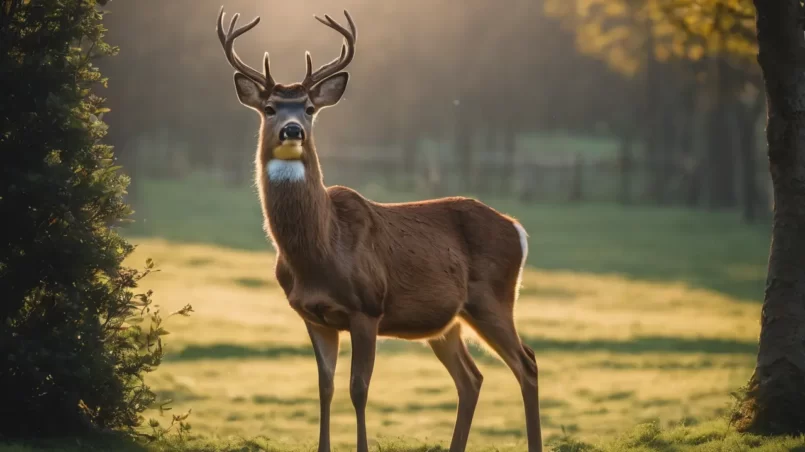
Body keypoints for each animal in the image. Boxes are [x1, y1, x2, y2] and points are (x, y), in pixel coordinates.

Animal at [214, 7, 544, 452]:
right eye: (269, 108)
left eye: (309, 108)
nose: (292, 130)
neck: (320, 250)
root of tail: (517, 229)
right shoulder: (312, 315)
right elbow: (325, 387)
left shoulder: (367, 306)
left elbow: (359, 388)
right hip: (446, 322)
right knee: (471, 378)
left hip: (492, 298)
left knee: (526, 363)